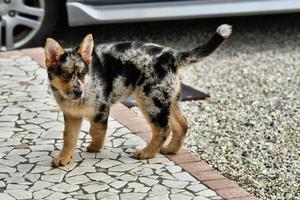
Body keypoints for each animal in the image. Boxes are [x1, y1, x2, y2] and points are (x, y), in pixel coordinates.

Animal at [44, 24, 232, 166]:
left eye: (82, 74)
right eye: (65, 75)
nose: (79, 92)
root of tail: (171, 56)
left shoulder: (101, 109)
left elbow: (96, 130)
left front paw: (94, 147)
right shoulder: (71, 116)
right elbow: (69, 138)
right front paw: (64, 157)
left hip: (150, 100)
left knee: (163, 129)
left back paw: (147, 153)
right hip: (167, 99)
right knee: (182, 124)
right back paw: (170, 149)